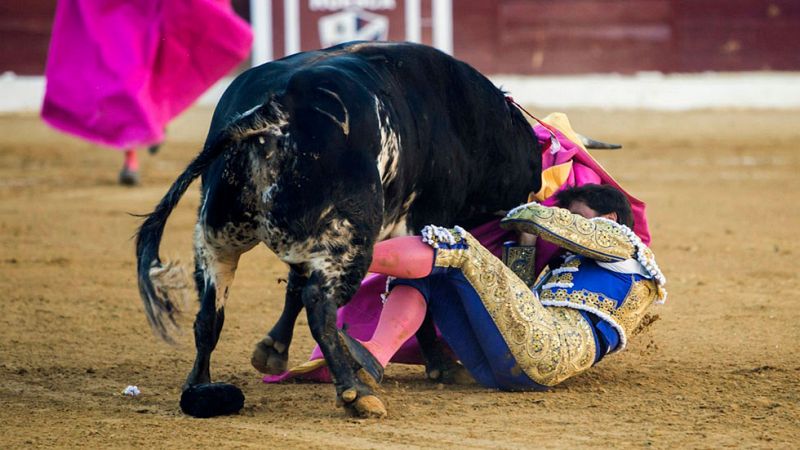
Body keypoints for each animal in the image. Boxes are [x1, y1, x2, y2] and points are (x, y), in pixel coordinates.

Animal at [136, 42, 544, 418]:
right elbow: (417, 290)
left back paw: (199, 386)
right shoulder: (423, 222)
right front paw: (441, 365)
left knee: (210, 315)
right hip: (349, 243)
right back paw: (355, 393)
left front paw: (272, 350)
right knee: (320, 304)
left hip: (216, 238)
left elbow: (293, 288)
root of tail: (275, 109)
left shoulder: (307, 241)